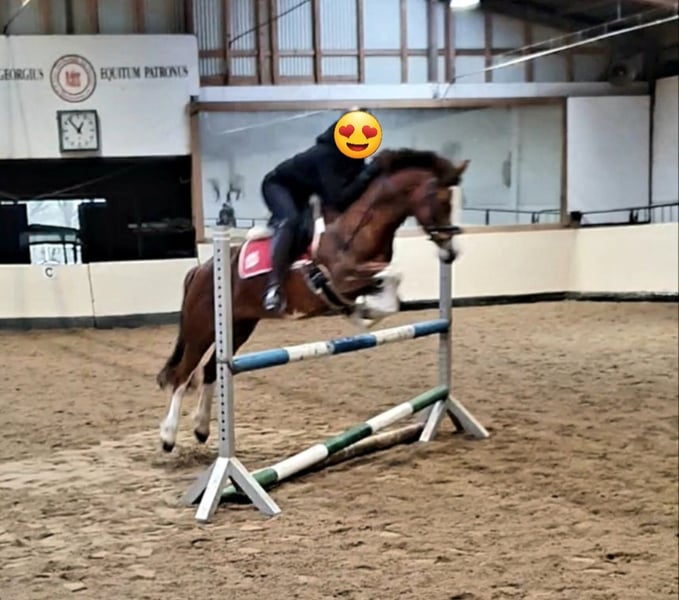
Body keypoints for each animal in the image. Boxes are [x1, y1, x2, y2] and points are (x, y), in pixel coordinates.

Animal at [156, 147, 469, 452]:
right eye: (442, 201)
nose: (451, 253)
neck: (360, 226)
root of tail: (200, 269)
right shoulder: (342, 277)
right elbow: (392, 278)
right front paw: (362, 314)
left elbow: (391, 293)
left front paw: (362, 313)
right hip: (203, 328)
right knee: (183, 374)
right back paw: (168, 437)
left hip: (238, 326)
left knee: (210, 370)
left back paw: (201, 428)